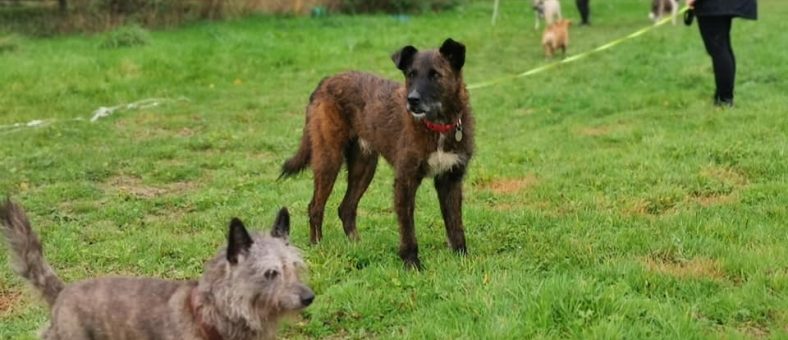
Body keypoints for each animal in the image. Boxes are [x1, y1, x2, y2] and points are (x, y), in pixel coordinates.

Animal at [282, 39, 474, 268]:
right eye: (411, 74)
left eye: (435, 75)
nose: (412, 100)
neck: (437, 127)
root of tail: (326, 81)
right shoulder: (405, 180)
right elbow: (408, 228)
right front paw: (411, 262)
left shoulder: (450, 179)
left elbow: (456, 225)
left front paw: (462, 258)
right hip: (329, 159)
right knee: (315, 207)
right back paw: (317, 246)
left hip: (364, 166)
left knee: (346, 208)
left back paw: (356, 245)